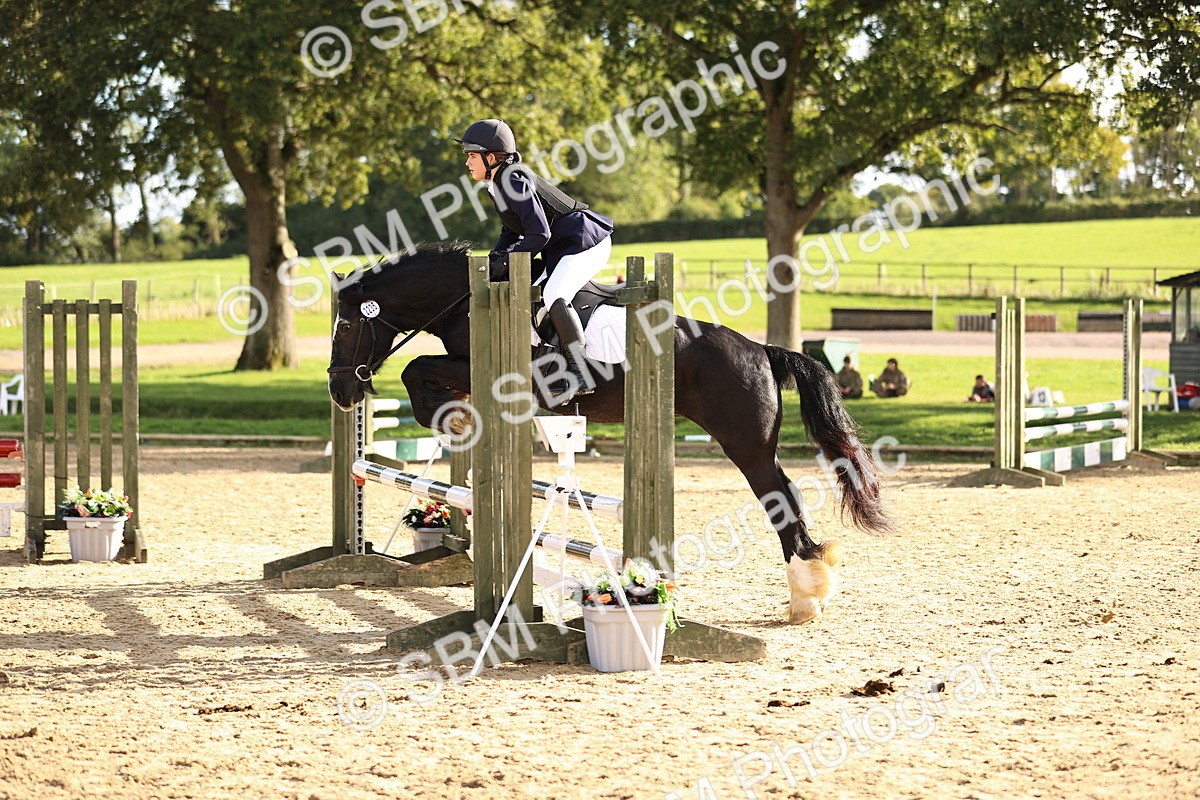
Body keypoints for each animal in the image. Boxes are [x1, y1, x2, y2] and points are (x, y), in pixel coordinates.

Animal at [327, 242, 891, 624]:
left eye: (348, 327)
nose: (341, 392)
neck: (465, 297)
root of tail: (761, 349)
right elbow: (422, 372)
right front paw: (458, 415)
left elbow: (417, 368)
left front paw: (454, 417)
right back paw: (807, 593)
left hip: (744, 442)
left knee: (779, 496)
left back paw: (806, 594)